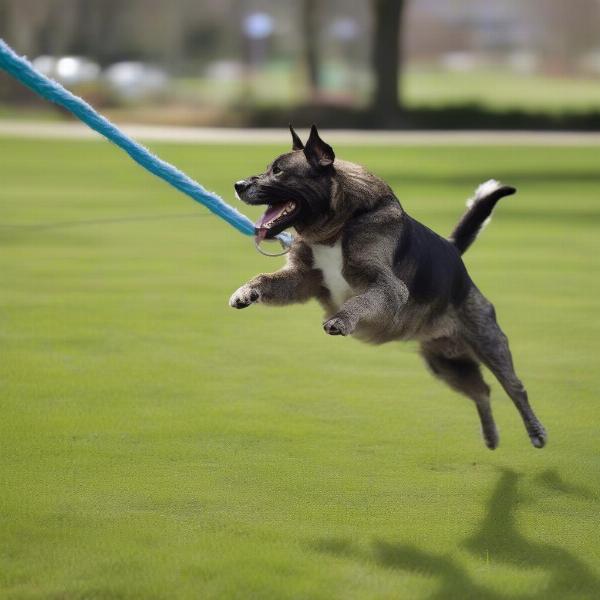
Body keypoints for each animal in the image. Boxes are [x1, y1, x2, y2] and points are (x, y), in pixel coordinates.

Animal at [231, 123, 548, 450]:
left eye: (278, 171)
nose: (238, 185)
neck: (338, 227)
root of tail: (453, 251)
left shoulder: (389, 287)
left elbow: (359, 301)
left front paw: (341, 320)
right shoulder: (302, 279)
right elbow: (265, 279)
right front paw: (246, 292)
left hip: (488, 342)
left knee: (515, 387)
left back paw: (536, 431)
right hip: (445, 363)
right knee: (482, 390)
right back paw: (490, 435)